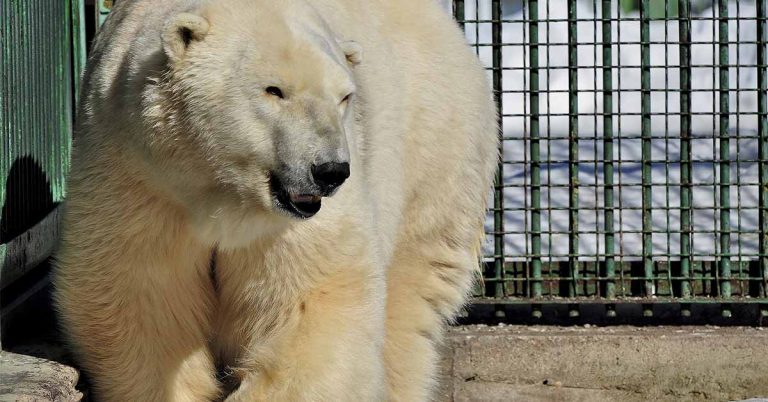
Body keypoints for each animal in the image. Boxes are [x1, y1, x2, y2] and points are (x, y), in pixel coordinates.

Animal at [52, 0, 498, 400]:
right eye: (274, 90)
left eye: (344, 97)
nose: (330, 170)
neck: (224, 193)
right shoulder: (139, 174)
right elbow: (142, 296)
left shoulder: (296, 221)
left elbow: (308, 305)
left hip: (434, 149)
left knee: (410, 294)